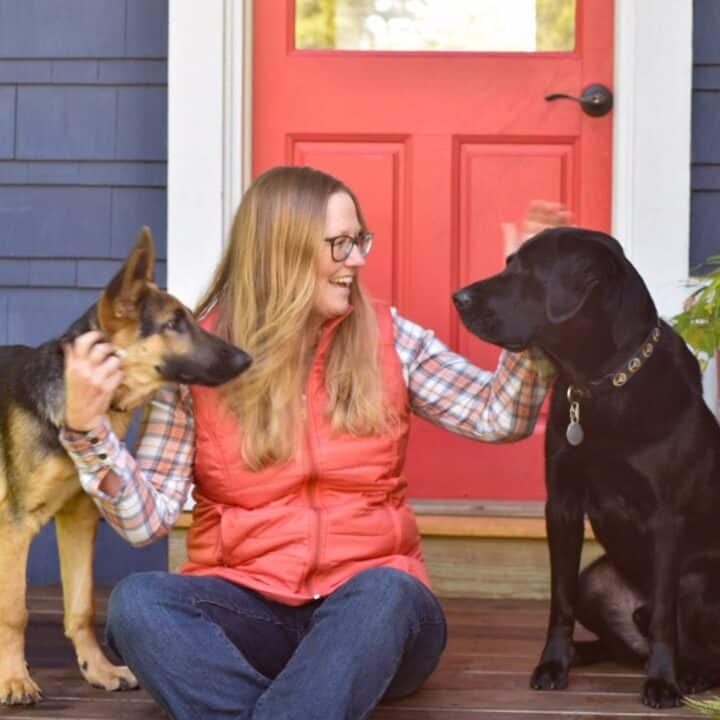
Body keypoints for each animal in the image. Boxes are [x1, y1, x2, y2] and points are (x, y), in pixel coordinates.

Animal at [0, 228, 253, 700]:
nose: (246, 359)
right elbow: (14, 610)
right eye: (173, 323)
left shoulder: (79, 517)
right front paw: (13, 678)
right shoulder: (15, 525)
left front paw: (98, 670)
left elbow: (80, 606)